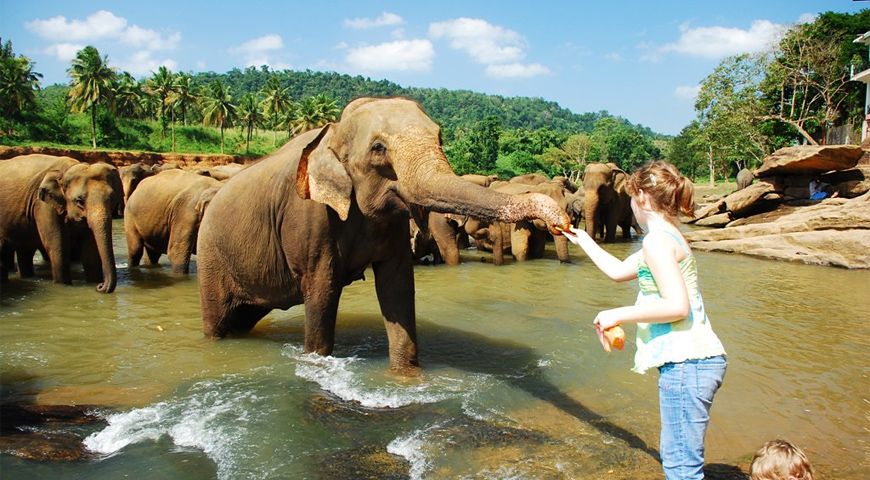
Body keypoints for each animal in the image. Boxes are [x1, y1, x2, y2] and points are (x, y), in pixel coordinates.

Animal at [0, 155, 122, 292]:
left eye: (112, 199)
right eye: (79, 201)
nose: (100, 286)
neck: (67, 170)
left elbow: (90, 251)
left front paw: (92, 283)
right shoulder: (43, 206)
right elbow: (57, 246)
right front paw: (64, 286)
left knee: (25, 251)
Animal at [196, 95, 572, 370]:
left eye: (440, 138)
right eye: (378, 148)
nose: (564, 221)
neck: (334, 130)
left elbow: (397, 287)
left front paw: (406, 376)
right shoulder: (309, 217)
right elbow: (321, 291)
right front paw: (317, 362)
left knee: (242, 318)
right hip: (212, 258)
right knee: (218, 322)